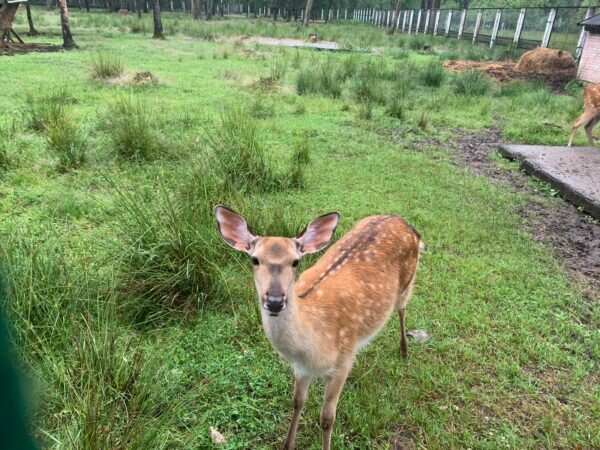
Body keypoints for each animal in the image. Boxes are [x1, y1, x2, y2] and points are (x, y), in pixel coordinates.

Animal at [214, 206, 422, 448]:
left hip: (407, 282)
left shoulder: (343, 361)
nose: (274, 300)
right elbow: (297, 401)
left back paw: (404, 350)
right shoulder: (301, 368)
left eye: (295, 262)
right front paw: (288, 444)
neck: (312, 345)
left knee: (402, 309)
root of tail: (405, 224)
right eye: (254, 259)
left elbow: (327, 418)